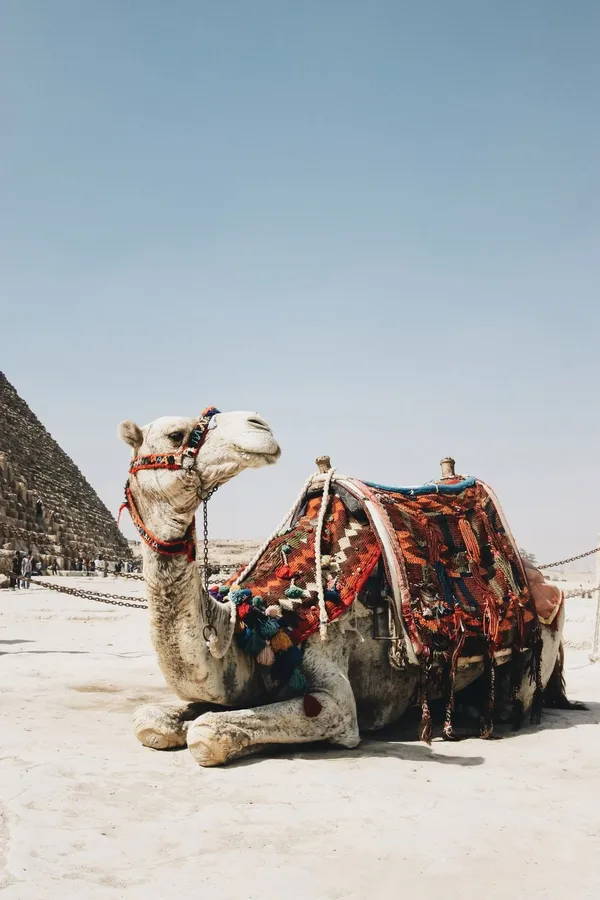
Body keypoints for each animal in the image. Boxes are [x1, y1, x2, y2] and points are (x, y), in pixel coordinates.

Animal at [119, 409, 576, 767]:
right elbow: (150, 720)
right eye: (176, 435)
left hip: (536, 653)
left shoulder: (337, 701)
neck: (259, 624)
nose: (258, 424)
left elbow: (207, 733)